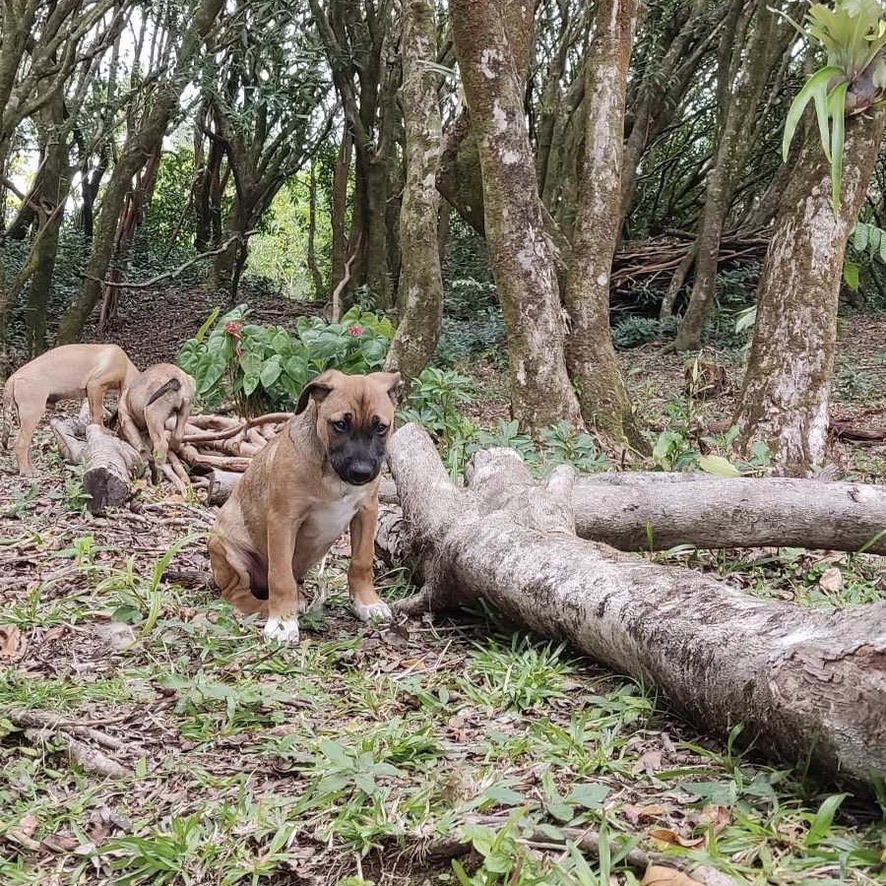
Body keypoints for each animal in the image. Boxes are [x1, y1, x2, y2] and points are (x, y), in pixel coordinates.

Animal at [1, 346, 139, 478]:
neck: (126, 365)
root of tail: (14, 376)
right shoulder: (95, 385)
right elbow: (97, 413)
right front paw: (103, 431)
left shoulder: (93, 392)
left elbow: (94, 411)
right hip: (32, 412)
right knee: (20, 444)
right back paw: (26, 472)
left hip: (23, 416)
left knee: (27, 445)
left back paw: (31, 469)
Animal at [208, 368, 402, 644]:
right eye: (340, 425)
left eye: (381, 428)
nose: (361, 472)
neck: (332, 474)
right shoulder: (283, 520)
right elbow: (280, 578)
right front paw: (282, 623)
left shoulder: (367, 510)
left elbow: (361, 561)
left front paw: (367, 602)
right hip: (229, 552)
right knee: (237, 594)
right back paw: (270, 607)